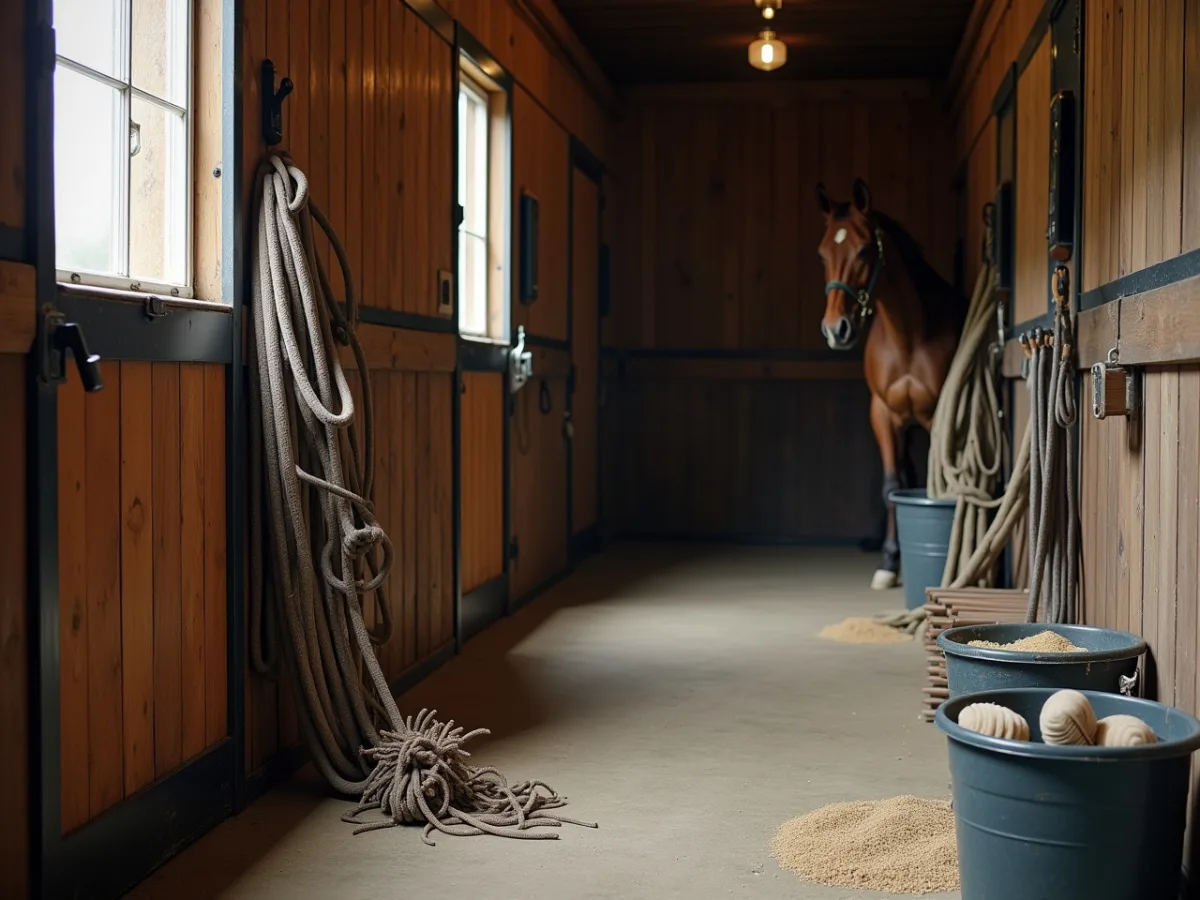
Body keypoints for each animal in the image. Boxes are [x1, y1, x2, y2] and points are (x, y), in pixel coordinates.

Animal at [815, 178, 964, 590]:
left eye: (865, 249)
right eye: (822, 254)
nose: (835, 330)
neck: (908, 336)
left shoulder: (937, 418)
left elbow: (929, 485)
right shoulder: (882, 414)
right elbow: (891, 487)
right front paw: (888, 563)